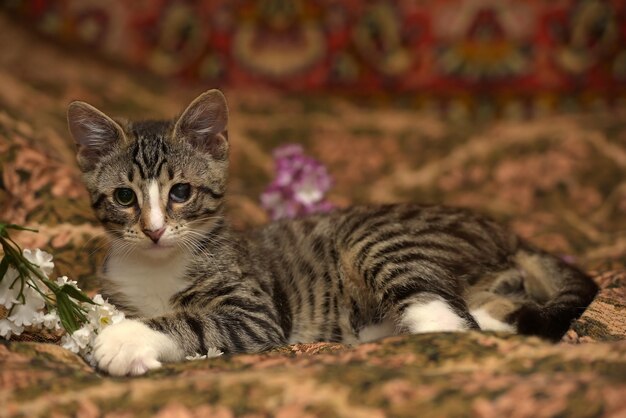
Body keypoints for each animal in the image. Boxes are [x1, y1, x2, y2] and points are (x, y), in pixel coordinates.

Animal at [66, 90, 596, 378]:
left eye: (180, 192)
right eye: (125, 197)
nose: (154, 230)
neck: (159, 264)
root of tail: (509, 233)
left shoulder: (257, 313)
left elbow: (195, 321)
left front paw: (124, 340)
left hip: (374, 239)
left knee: (453, 321)